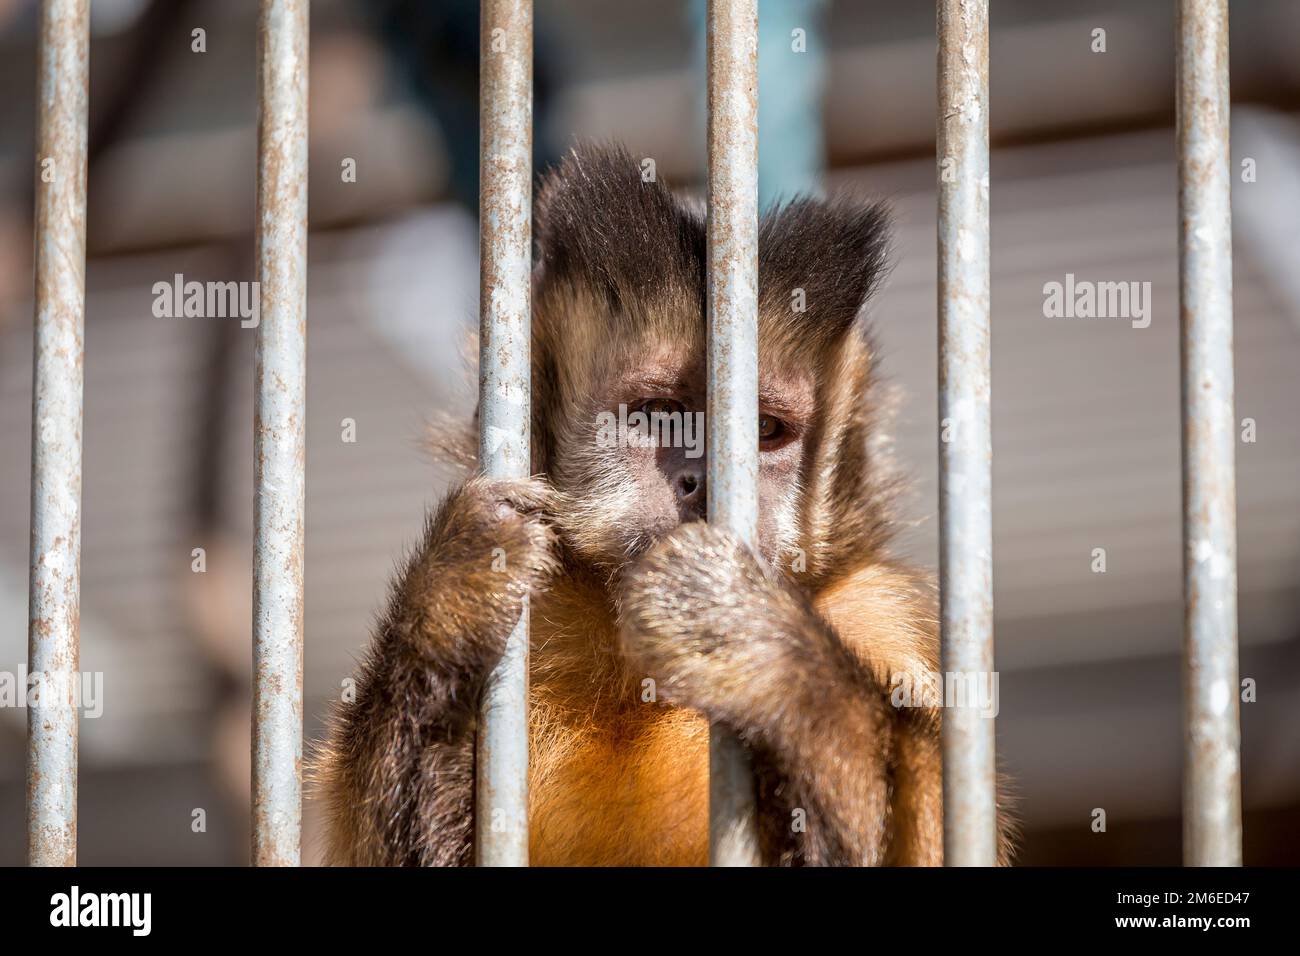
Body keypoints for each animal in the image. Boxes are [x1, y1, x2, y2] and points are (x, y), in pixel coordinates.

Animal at [314, 141, 1013, 868]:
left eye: (764, 429)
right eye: (656, 415)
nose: (700, 482)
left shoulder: (879, 612)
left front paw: (766, 650)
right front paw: (450, 597)